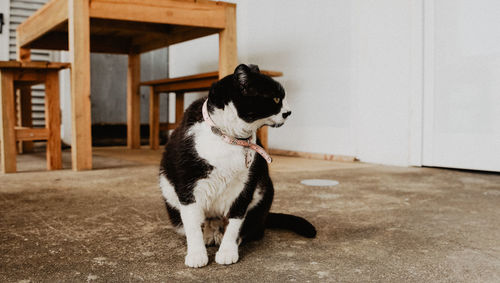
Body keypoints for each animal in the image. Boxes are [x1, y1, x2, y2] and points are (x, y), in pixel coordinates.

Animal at [160, 64, 314, 268]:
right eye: (275, 98)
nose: (289, 112)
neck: (230, 138)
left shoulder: (245, 186)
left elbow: (235, 222)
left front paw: (227, 251)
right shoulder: (187, 184)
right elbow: (192, 225)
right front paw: (196, 254)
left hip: (265, 190)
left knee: (252, 229)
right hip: (170, 196)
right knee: (202, 221)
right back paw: (209, 234)